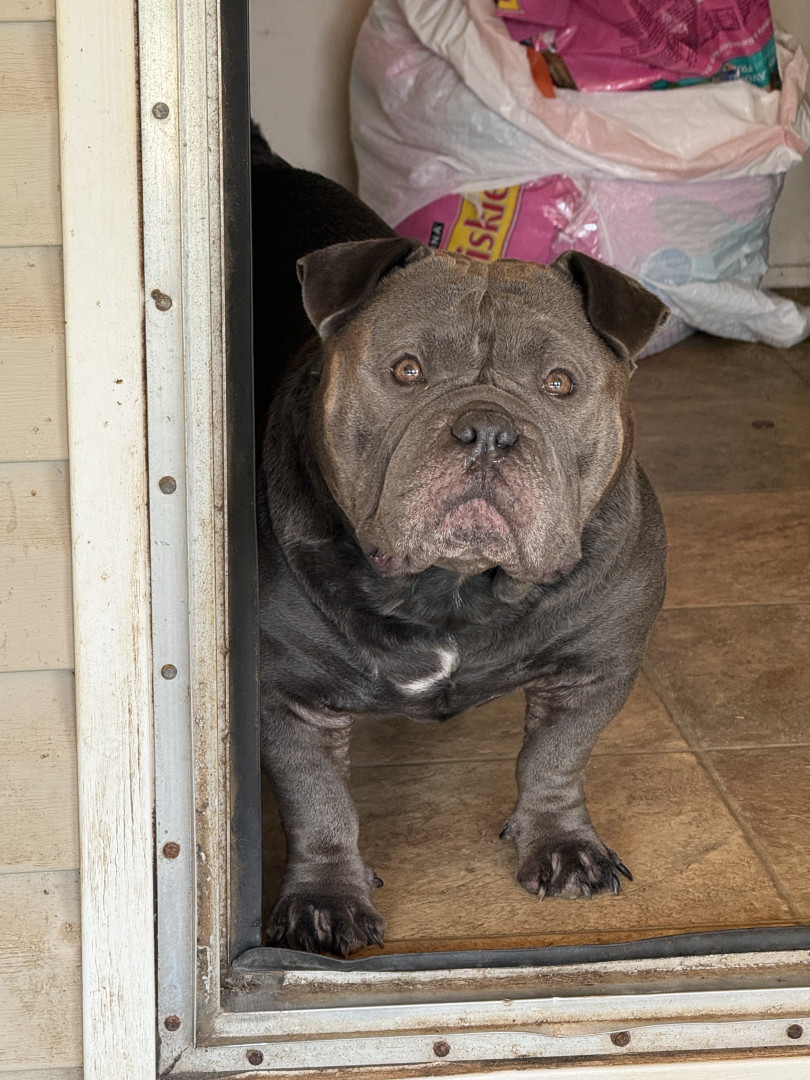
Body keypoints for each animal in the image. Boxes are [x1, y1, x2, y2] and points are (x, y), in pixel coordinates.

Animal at [253, 128, 669, 956]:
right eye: (406, 371)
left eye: (561, 384)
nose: (486, 430)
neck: (452, 584)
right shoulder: (289, 694)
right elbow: (319, 802)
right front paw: (325, 896)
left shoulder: (595, 668)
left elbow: (555, 758)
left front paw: (560, 842)